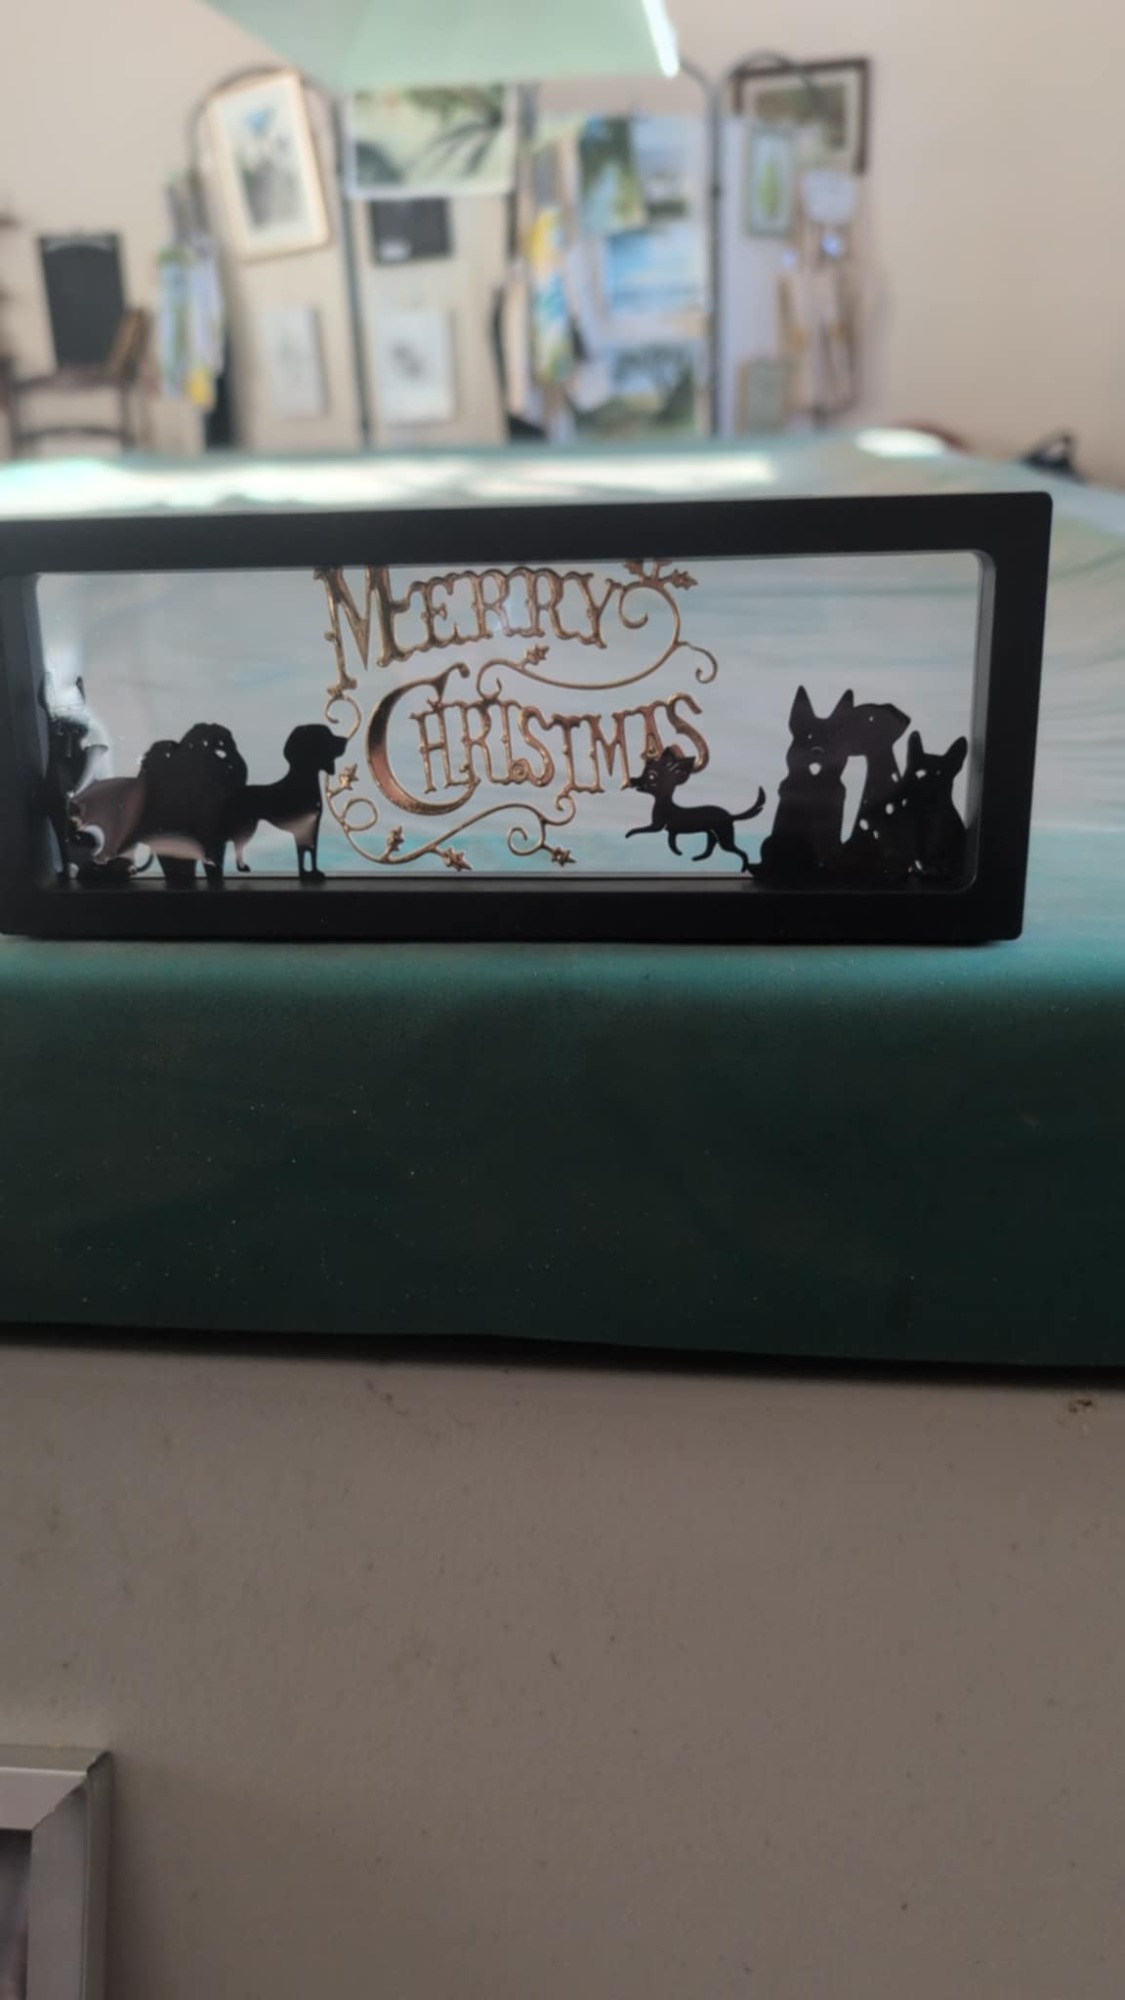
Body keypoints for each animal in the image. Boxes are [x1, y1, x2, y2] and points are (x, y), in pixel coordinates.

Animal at [626, 746, 766, 875]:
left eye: (651, 776)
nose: (632, 780)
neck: (665, 805)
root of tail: (730, 816)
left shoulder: (657, 826)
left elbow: (640, 829)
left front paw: (628, 834)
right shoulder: (672, 831)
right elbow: (672, 843)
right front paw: (679, 853)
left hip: (724, 836)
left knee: (741, 852)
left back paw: (743, 869)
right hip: (712, 834)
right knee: (709, 850)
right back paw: (698, 858)